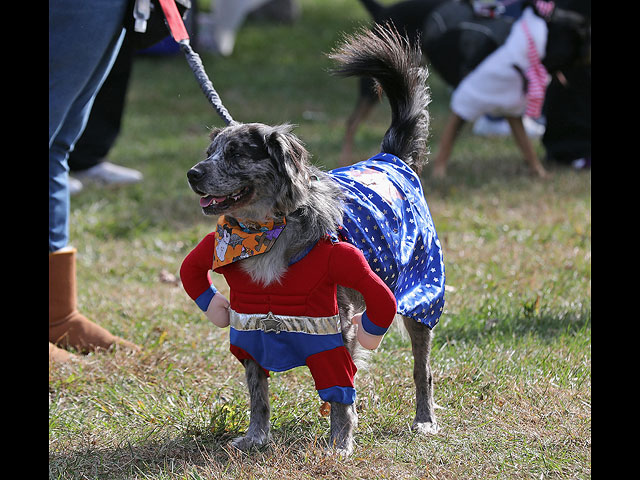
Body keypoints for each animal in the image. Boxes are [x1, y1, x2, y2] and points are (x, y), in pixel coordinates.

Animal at [184, 25, 444, 454]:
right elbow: (257, 393)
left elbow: (341, 393)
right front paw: (256, 437)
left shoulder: (337, 332)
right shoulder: (250, 325)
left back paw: (424, 419)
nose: (193, 173)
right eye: (210, 151)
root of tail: (390, 158)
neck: (266, 232)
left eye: (236, 154)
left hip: (421, 296)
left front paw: (340, 442)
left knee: (421, 370)